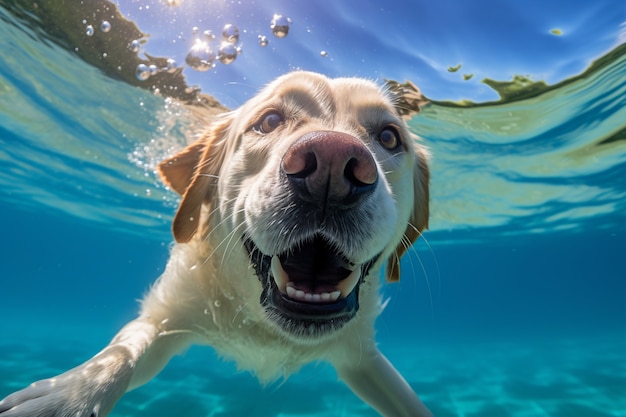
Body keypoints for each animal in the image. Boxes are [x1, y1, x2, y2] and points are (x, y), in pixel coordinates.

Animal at [0, 71, 428, 416]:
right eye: (269, 121)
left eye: (389, 136)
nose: (332, 166)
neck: (265, 328)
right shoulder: (165, 315)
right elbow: (120, 355)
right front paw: (68, 394)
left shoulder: (361, 354)